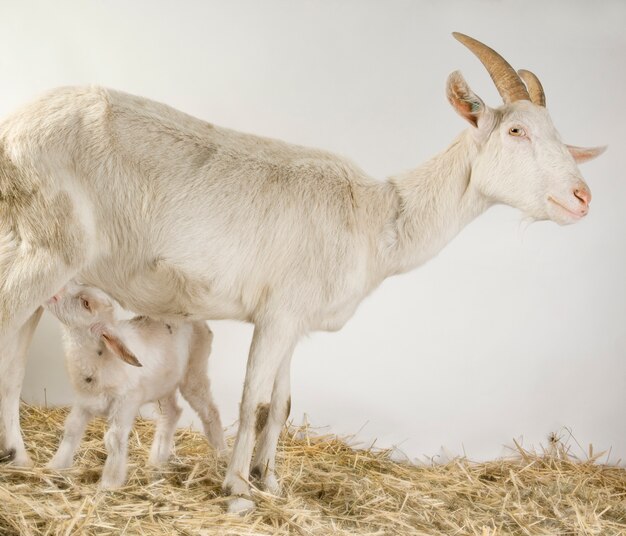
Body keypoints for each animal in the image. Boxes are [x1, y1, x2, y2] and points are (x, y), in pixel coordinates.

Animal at [0, 33, 604, 510]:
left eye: (560, 136)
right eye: (516, 132)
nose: (582, 198)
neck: (376, 216)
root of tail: (11, 131)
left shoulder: (292, 318)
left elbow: (281, 402)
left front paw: (271, 483)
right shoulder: (277, 314)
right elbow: (250, 398)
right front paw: (237, 489)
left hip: (30, 249)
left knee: (17, 343)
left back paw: (20, 456)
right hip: (48, 247)